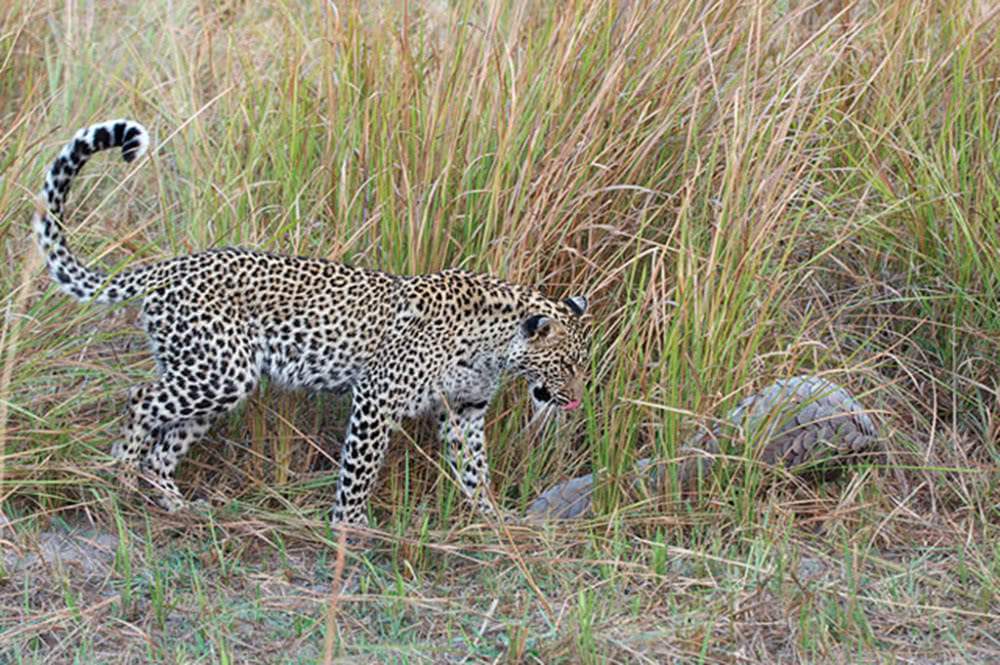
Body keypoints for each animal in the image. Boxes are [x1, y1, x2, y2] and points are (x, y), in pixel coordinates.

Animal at [31, 116, 588, 528]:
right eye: (565, 364)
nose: (576, 399)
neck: (494, 346)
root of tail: (169, 265)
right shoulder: (378, 396)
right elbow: (360, 469)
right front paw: (351, 527)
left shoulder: (465, 410)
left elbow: (475, 470)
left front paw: (493, 519)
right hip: (219, 371)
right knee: (140, 400)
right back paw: (120, 479)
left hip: (215, 380)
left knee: (164, 445)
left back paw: (174, 502)